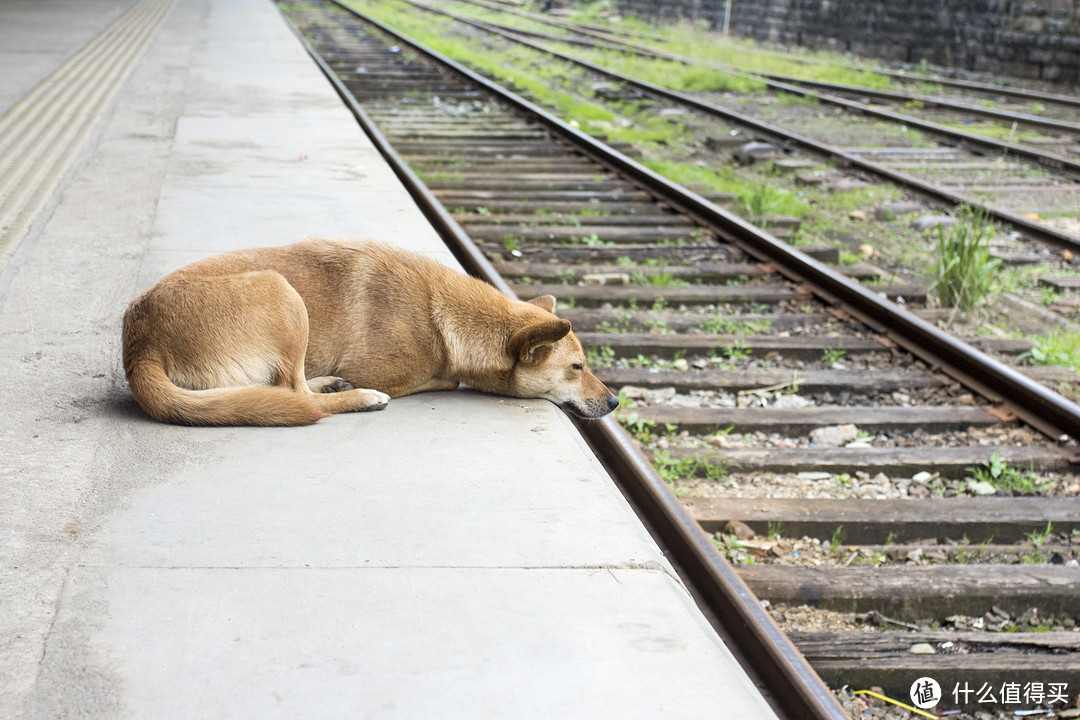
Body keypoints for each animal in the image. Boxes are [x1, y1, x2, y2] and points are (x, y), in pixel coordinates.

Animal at [120, 239, 617, 425]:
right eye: (577, 367)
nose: (614, 402)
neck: (444, 314)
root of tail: (139, 345)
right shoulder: (393, 370)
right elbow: (442, 378)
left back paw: (331, 384)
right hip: (283, 294)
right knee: (294, 394)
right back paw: (359, 397)